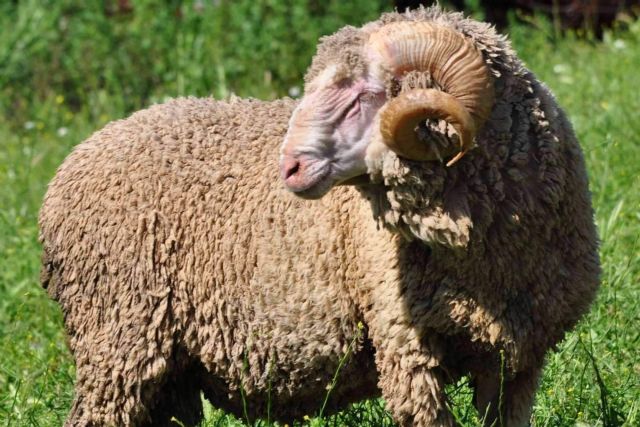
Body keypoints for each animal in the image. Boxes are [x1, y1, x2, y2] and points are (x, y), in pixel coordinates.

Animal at [39, 6, 599, 427]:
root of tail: (65, 170)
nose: (287, 167)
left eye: (362, 92)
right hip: (117, 338)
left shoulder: (518, 360)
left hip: (166, 371)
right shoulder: (405, 344)